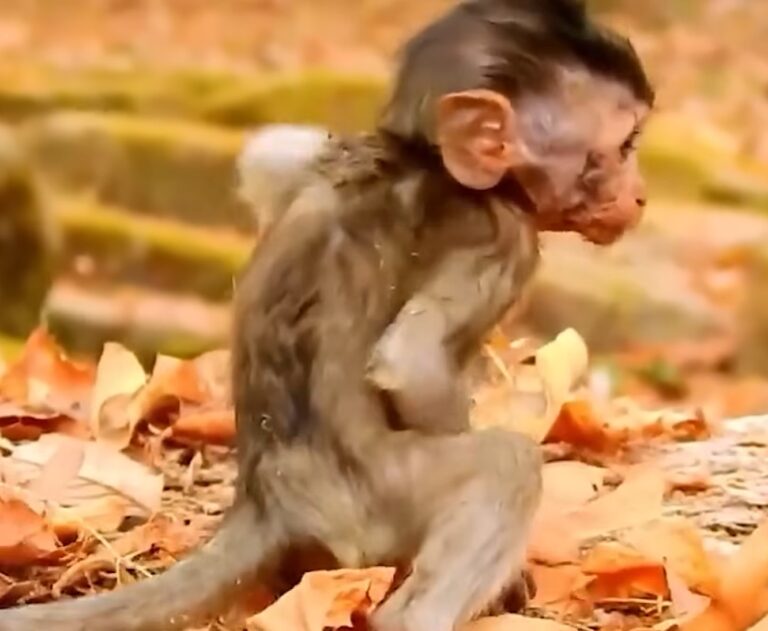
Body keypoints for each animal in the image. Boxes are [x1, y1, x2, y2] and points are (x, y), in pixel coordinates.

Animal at [0, 1, 654, 630]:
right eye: (623, 147)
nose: (640, 193)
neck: (430, 159)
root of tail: (267, 500)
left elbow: (269, 159)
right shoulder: (503, 239)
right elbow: (411, 363)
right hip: (376, 504)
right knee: (504, 464)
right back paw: (410, 615)